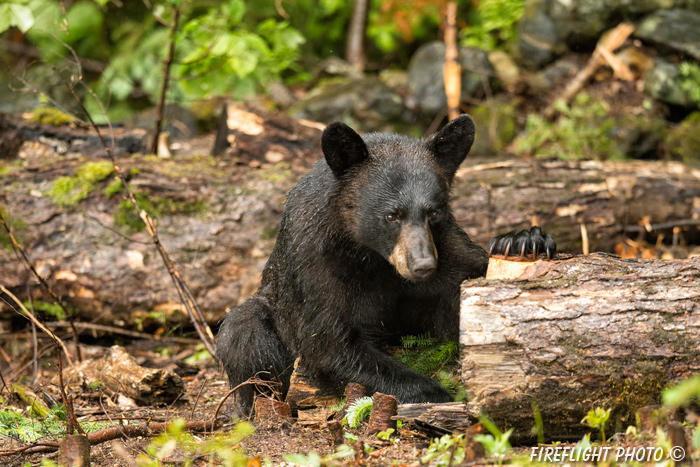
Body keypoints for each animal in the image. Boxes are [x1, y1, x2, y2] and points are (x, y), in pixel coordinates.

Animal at [216, 114, 556, 414]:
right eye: (391, 215)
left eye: (434, 211)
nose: (422, 265)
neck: (370, 257)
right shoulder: (313, 268)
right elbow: (327, 344)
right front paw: (435, 394)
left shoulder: (445, 247)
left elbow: (463, 288)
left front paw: (525, 240)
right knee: (246, 335)